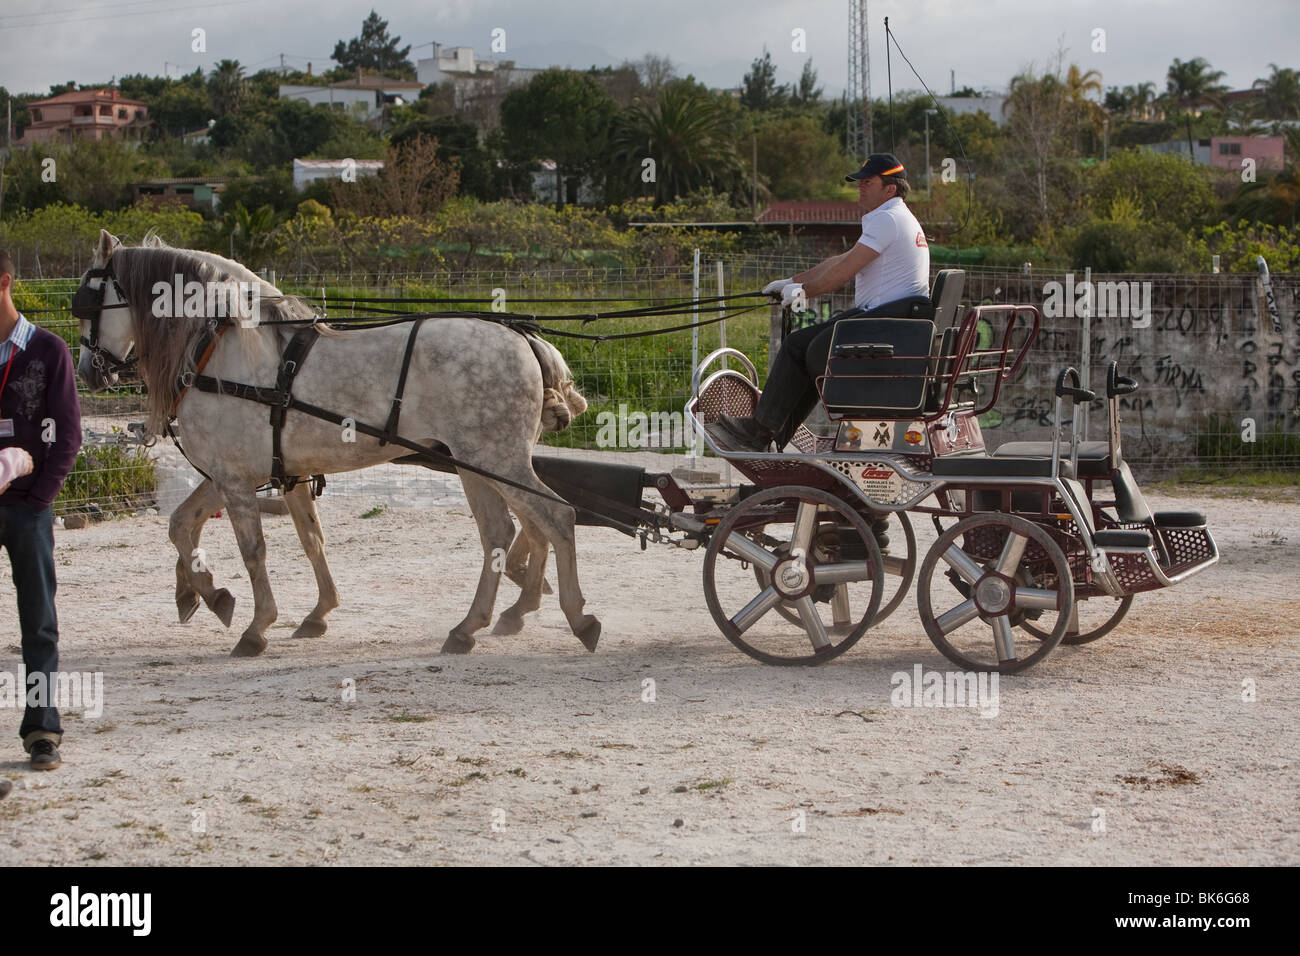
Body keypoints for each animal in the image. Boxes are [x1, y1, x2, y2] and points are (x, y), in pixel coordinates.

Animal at [73, 229, 598, 657]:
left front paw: (255, 625)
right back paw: (473, 626)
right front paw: (212, 594)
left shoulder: (235, 479)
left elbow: (252, 550)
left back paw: (575, 616)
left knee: (554, 518)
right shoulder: (257, 474)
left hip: (496, 460)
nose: (87, 372)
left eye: (88, 302)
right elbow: (216, 528)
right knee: (502, 533)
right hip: (478, 464)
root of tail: (526, 339)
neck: (222, 350)